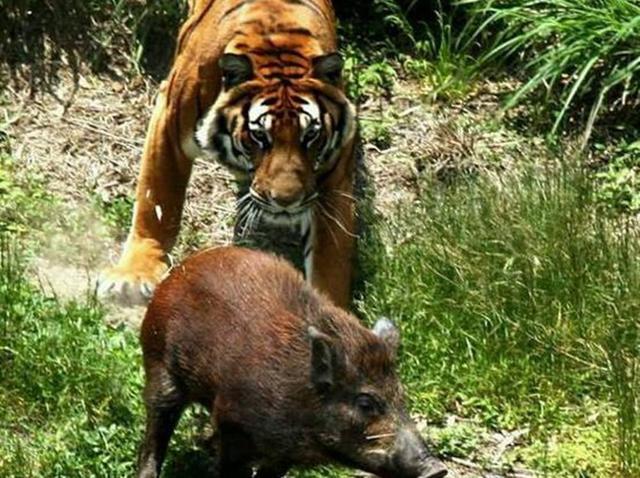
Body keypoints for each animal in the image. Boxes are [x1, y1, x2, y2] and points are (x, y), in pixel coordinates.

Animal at [98, 0, 358, 308]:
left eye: (310, 136)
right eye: (260, 136)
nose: (286, 202)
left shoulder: (334, 171)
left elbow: (331, 258)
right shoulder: (169, 120)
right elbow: (158, 200)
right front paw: (134, 276)